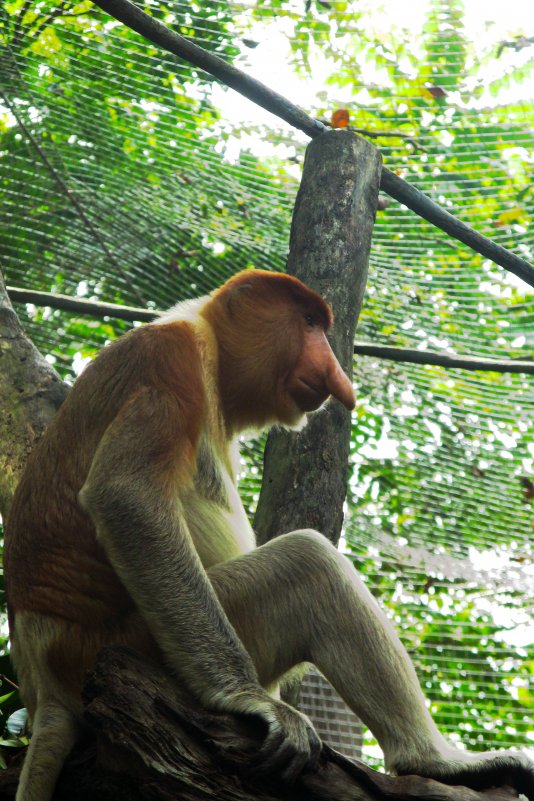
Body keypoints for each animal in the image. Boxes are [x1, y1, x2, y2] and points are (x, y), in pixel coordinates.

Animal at [5, 270, 534, 800]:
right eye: (308, 321)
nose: (337, 378)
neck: (209, 343)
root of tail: (43, 687)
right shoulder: (170, 361)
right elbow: (126, 497)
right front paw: (248, 698)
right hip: (128, 641)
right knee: (310, 561)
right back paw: (436, 761)